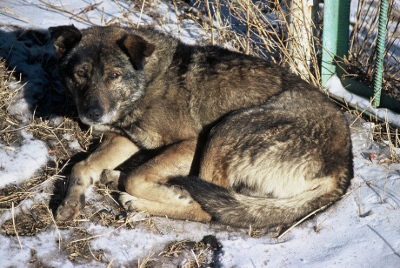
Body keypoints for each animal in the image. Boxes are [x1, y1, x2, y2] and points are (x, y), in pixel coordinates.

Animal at [49, 25, 354, 229]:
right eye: (81, 74)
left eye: (114, 75)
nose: (93, 114)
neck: (148, 82)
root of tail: (341, 173)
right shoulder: (126, 139)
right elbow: (83, 166)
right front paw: (69, 203)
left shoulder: (191, 143)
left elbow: (137, 178)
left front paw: (172, 193)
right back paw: (116, 178)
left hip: (225, 130)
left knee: (207, 209)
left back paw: (150, 197)